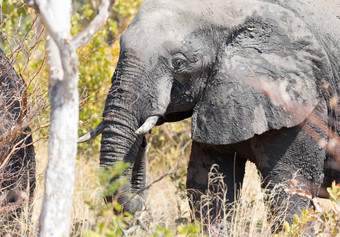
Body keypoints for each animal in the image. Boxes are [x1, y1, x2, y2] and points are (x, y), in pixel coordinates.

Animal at [81, 0, 338, 228]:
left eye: (178, 63)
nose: (143, 139)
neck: (231, 11)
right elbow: (209, 185)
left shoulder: (303, 99)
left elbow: (289, 187)